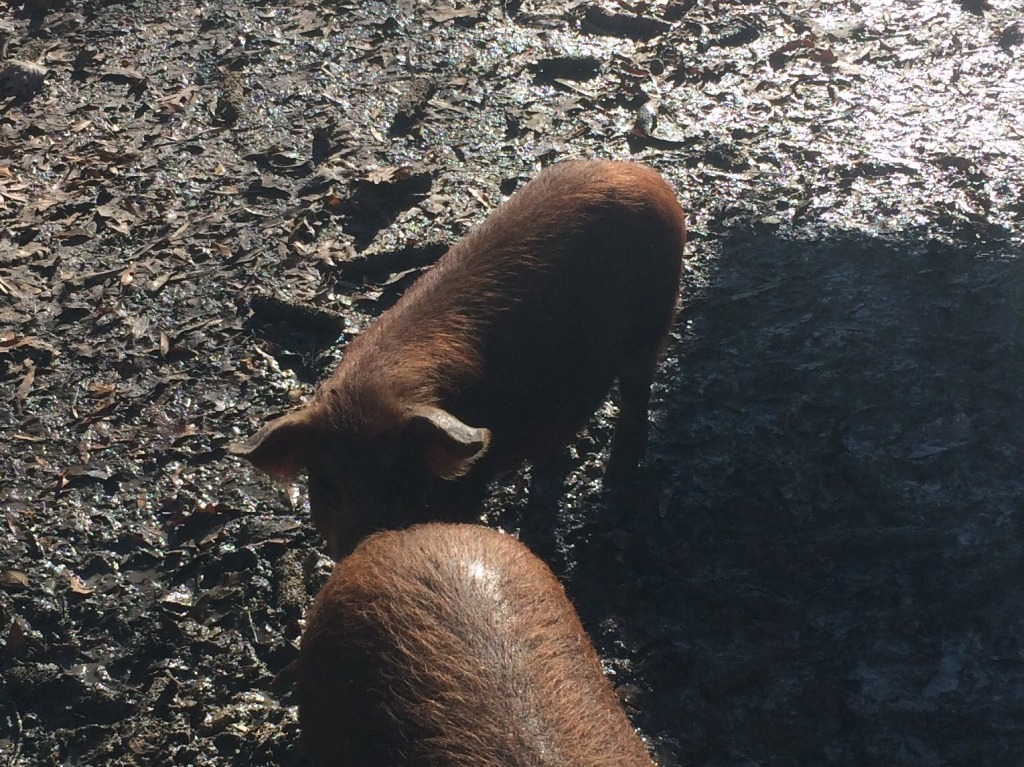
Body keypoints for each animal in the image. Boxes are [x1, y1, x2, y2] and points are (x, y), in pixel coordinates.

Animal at [228, 161, 684, 557]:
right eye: (324, 483)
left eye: (400, 476)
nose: (363, 547)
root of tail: (641, 173)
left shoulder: (475, 478)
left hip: (653, 322)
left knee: (636, 395)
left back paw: (619, 473)